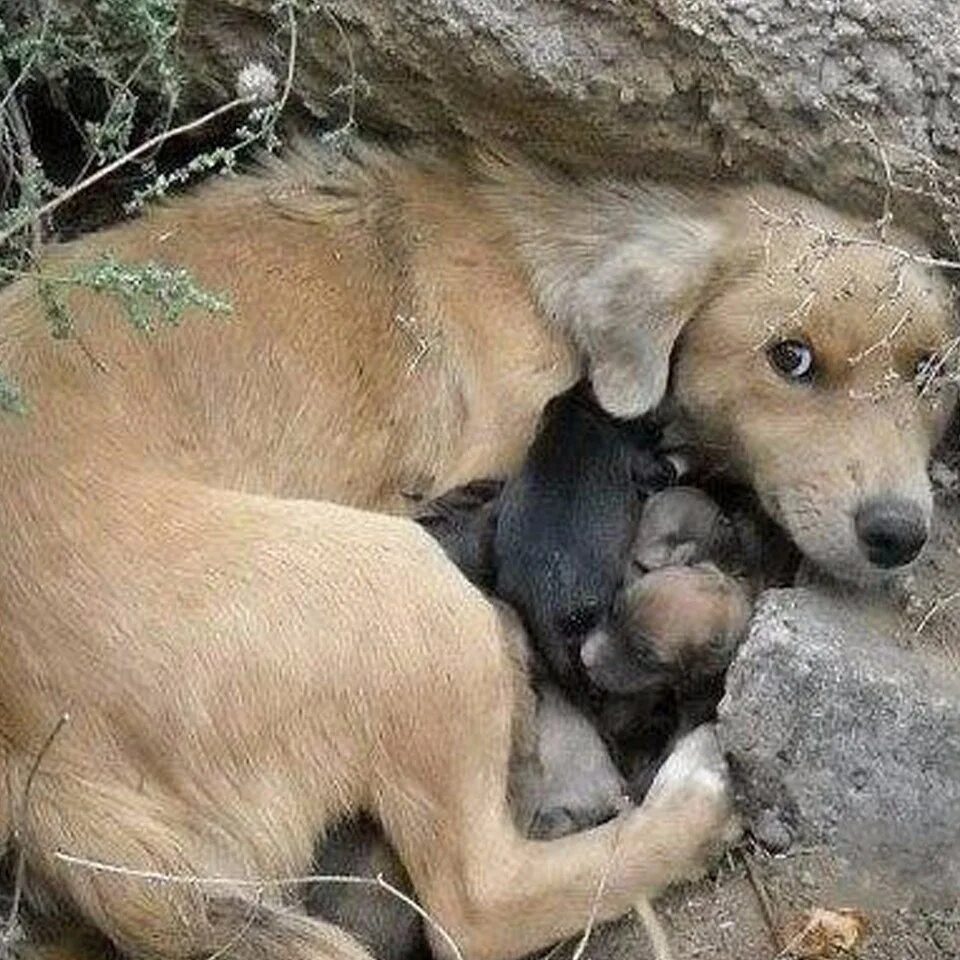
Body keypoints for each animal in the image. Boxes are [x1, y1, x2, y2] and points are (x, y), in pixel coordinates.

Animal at [1, 141, 960, 960]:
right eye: (789, 358)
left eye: (927, 370)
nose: (899, 534)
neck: (555, 274)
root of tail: (53, 793)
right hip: (403, 589)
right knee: (479, 902)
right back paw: (696, 800)